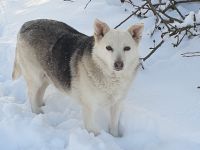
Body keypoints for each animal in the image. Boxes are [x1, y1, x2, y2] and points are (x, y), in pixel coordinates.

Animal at [12, 18, 143, 136]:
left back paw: (41, 106)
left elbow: (114, 126)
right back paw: (36, 111)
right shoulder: (89, 106)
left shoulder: (117, 103)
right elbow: (93, 130)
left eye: (127, 48)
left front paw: (115, 137)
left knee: (40, 92)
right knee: (31, 94)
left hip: (47, 76)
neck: (110, 77)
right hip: (35, 77)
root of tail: (26, 24)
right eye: (109, 48)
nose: (119, 64)